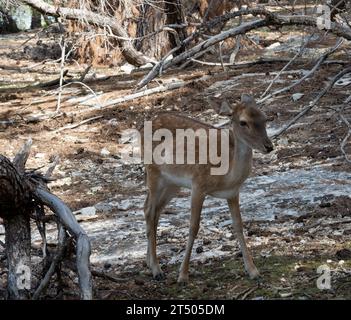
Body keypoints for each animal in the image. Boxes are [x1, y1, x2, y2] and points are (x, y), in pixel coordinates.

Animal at [142, 94, 274, 284]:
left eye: (264, 118)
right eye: (243, 122)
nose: (269, 146)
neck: (226, 176)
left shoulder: (233, 193)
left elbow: (238, 226)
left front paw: (253, 271)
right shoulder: (198, 185)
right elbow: (193, 227)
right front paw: (183, 275)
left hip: (172, 184)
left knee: (153, 209)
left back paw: (149, 261)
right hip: (153, 172)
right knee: (150, 210)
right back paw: (156, 269)